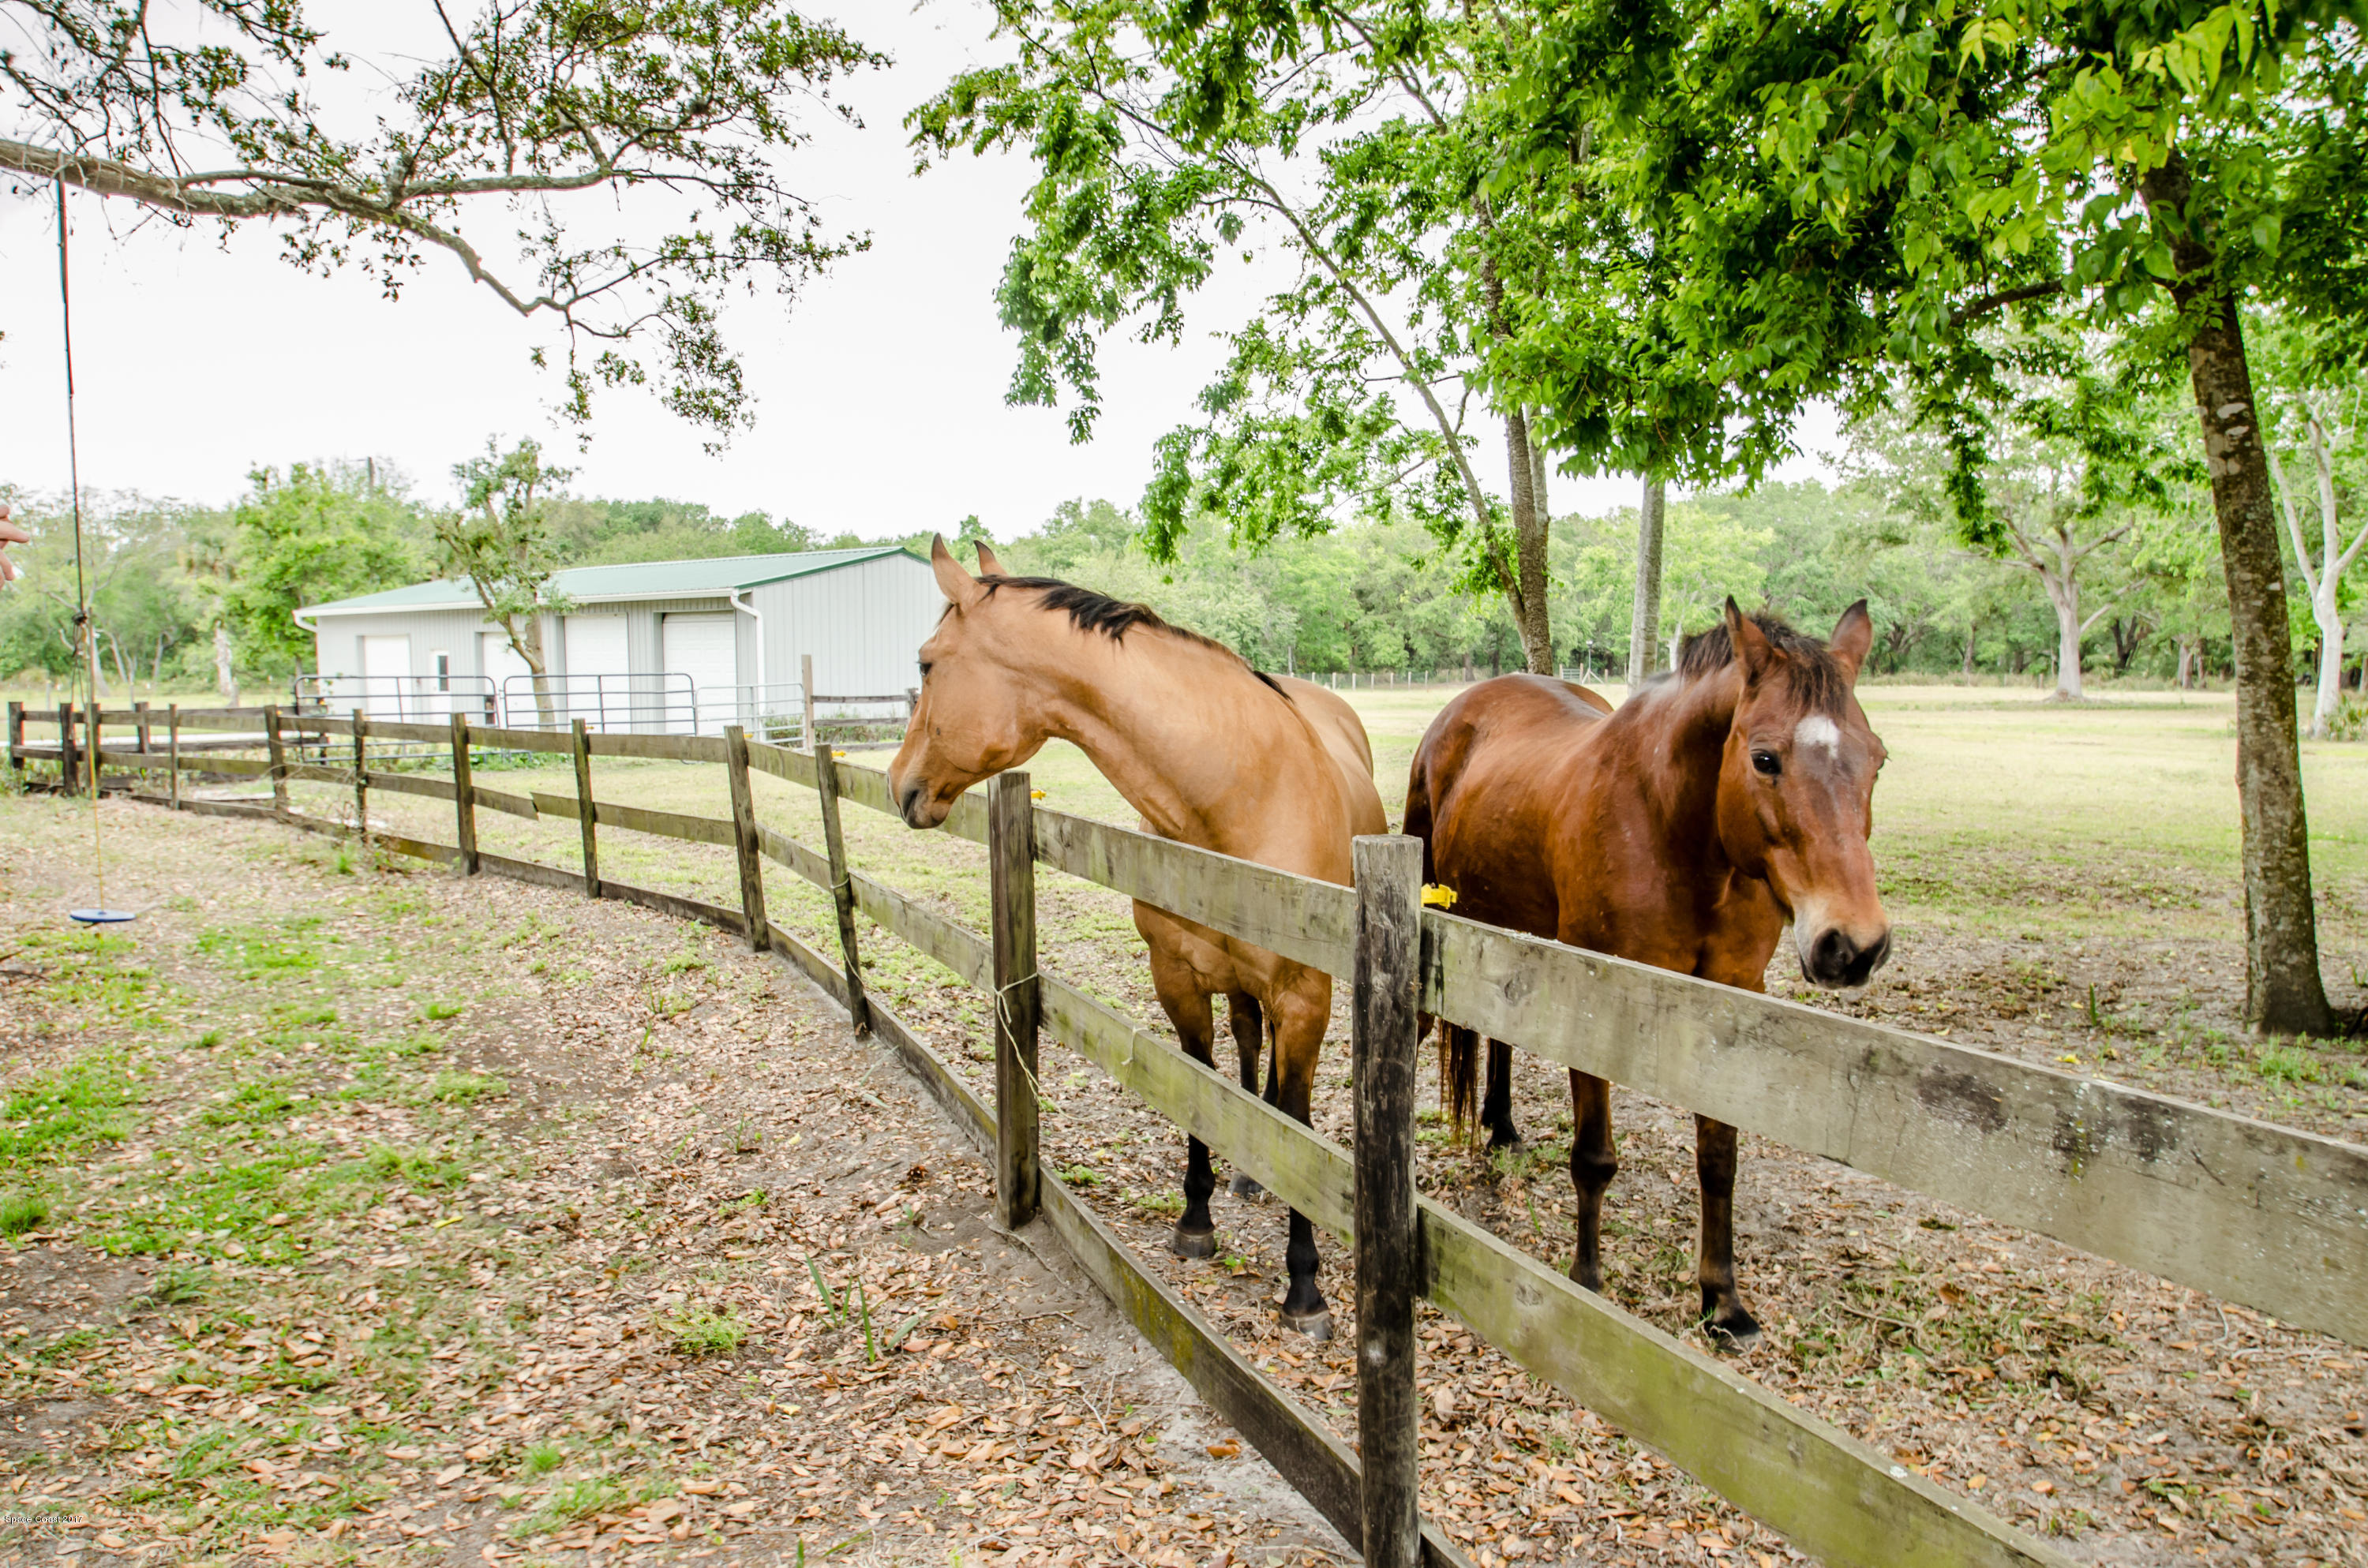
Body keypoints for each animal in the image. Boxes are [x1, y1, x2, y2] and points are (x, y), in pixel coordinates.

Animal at [887, 537, 1389, 1338]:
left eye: (927, 663)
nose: (898, 783)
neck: (1237, 795)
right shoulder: (1176, 978)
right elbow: (1201, 1090)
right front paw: (1196, 1221)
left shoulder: (1306, 996)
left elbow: (1301, 1128)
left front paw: (1305, 1286)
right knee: (1248, 1047)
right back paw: (1246, 1174)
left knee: (1277, 1095)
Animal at [1402, 600, 1890, 1347]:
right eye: (1766, 758)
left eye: (1878, 759)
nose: (1854, 945)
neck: (1676, 828)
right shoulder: (1592, 999)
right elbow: (1594, 1156)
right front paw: (1586, 1282)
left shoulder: (1728, 998)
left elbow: (1719, 1157)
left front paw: (1724, 1300)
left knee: (1504, 1036)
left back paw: (1503, 1125)